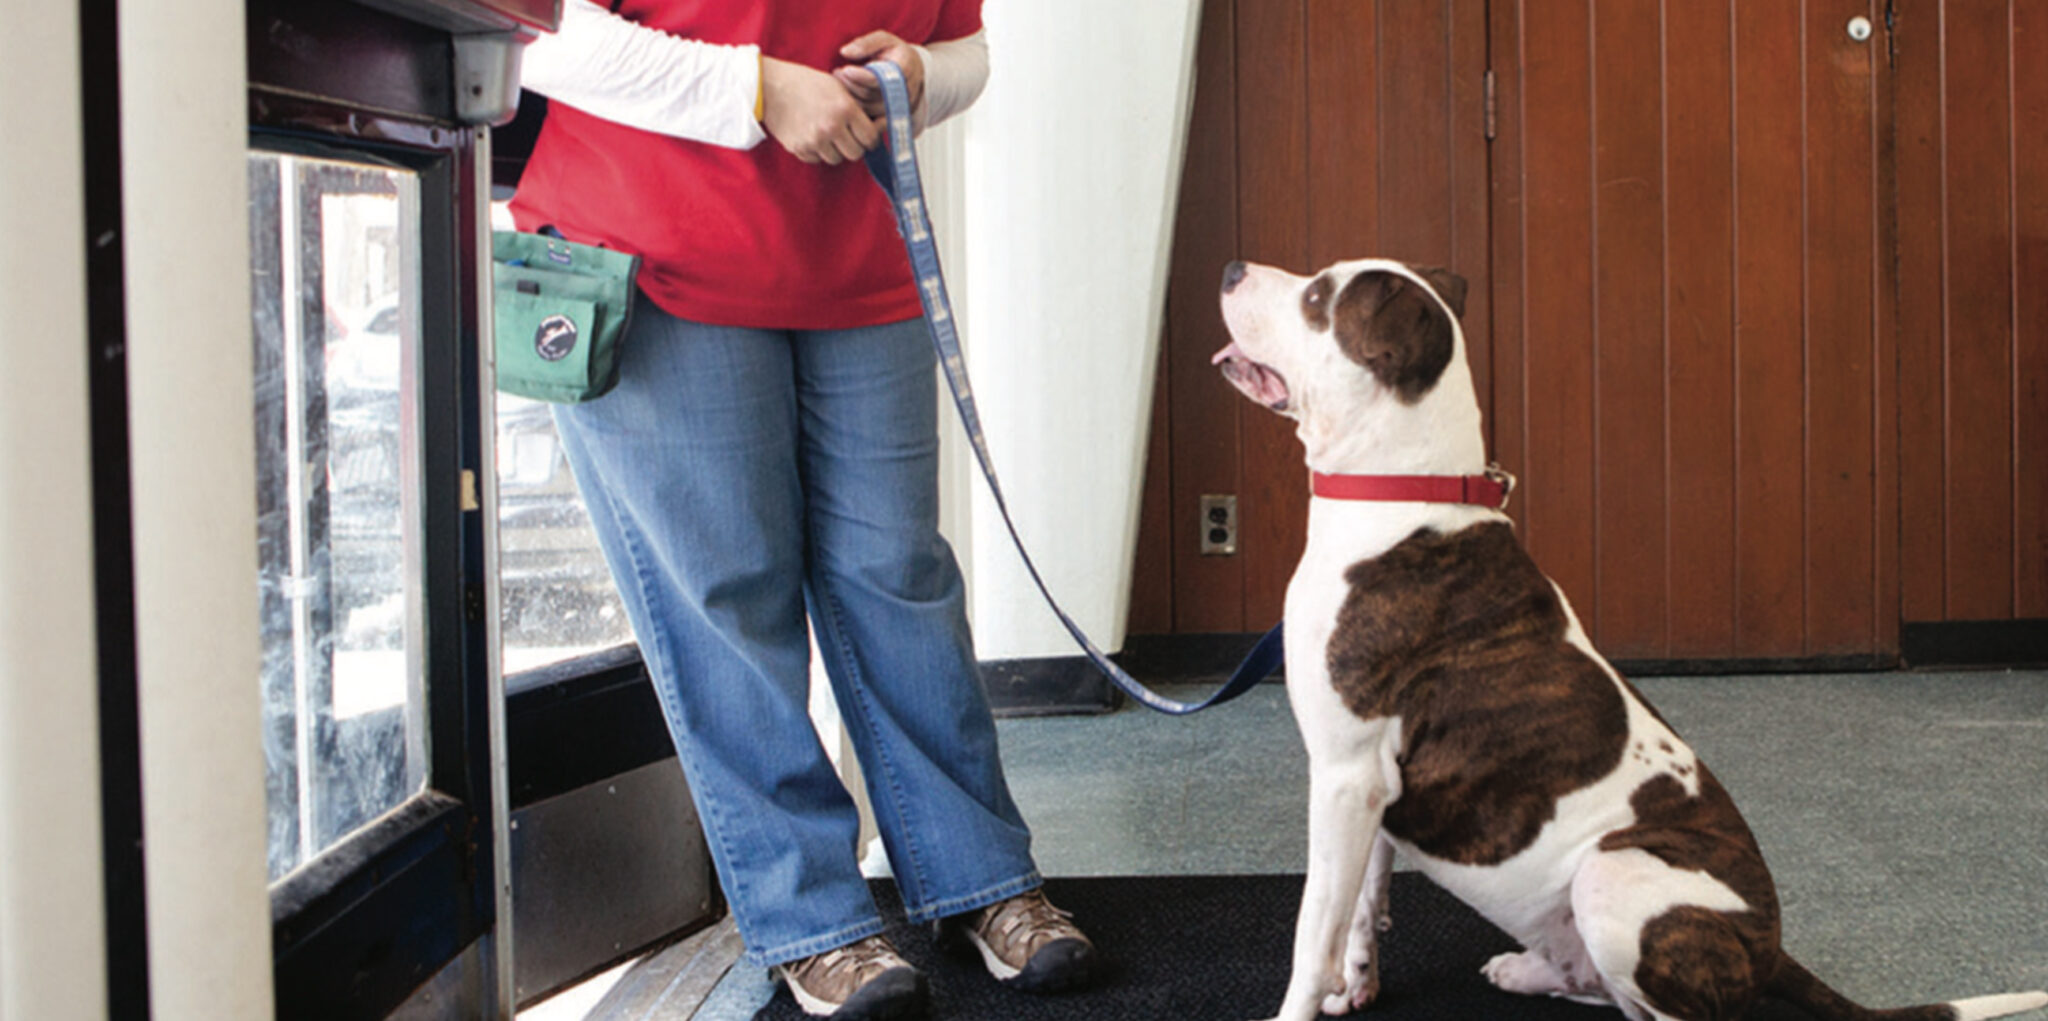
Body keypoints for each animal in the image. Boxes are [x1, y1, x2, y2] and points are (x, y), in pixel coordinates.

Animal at [1212, 253, 2048, 1021]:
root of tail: (1772, 950)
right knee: (1600, 987)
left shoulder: (1345, 775)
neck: (1399, 493)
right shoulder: (1370, 789)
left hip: (1611, 874)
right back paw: (1530, 970)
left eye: (1318, 297)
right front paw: (1356, 985)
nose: (1229, 268)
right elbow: (1361, 902)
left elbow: (1313, 928)